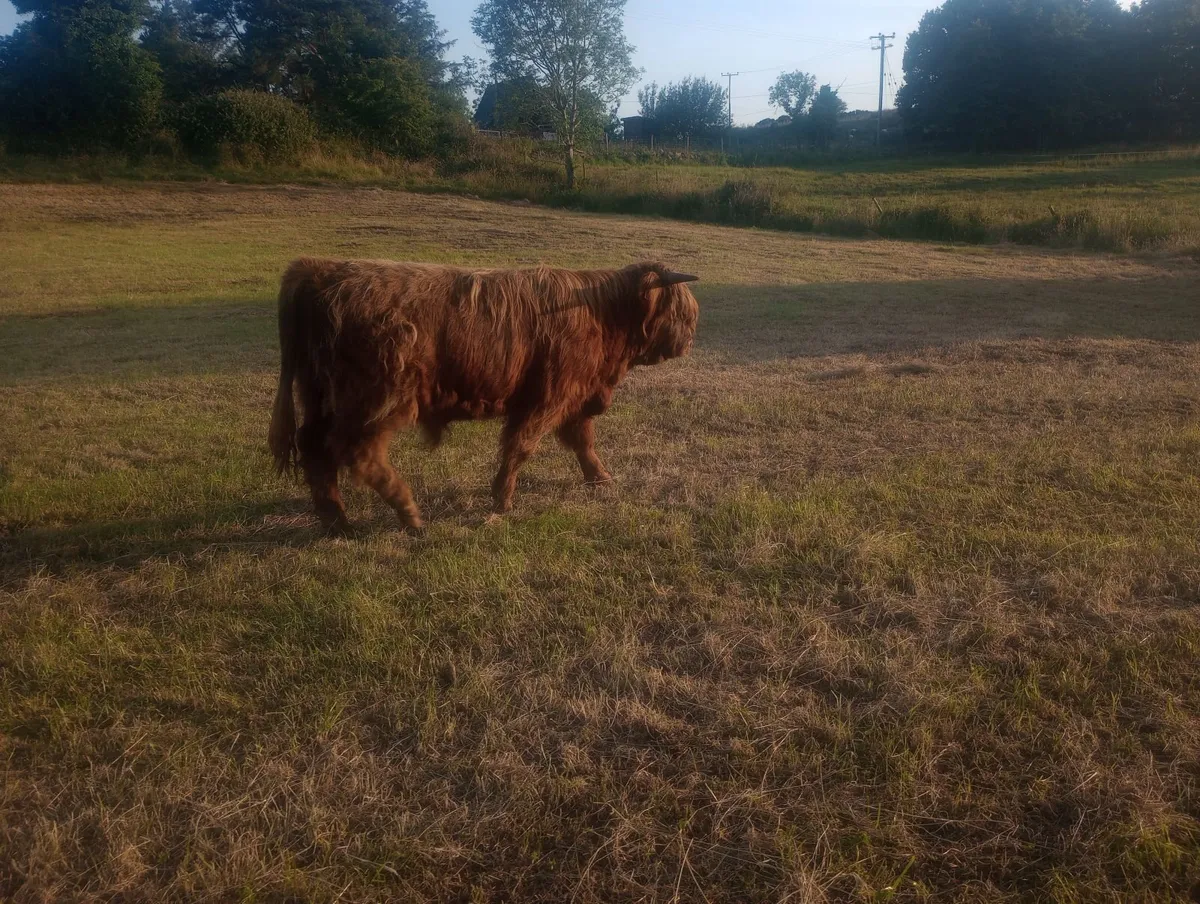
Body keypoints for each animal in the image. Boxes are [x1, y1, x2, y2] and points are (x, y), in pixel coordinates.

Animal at [267, 258, 700, 535]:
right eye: (683, 311)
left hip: (319, 395)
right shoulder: (548, 396)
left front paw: (601, 478)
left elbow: (582, 441)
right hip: (376, 396)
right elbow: (522, 445)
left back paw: (337, 522)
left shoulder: (573, 396)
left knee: (315, 448)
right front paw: (502, 499)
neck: (603, 314)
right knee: (356, 452)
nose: (690, 339)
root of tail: (319, 272)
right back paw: (409, 515)